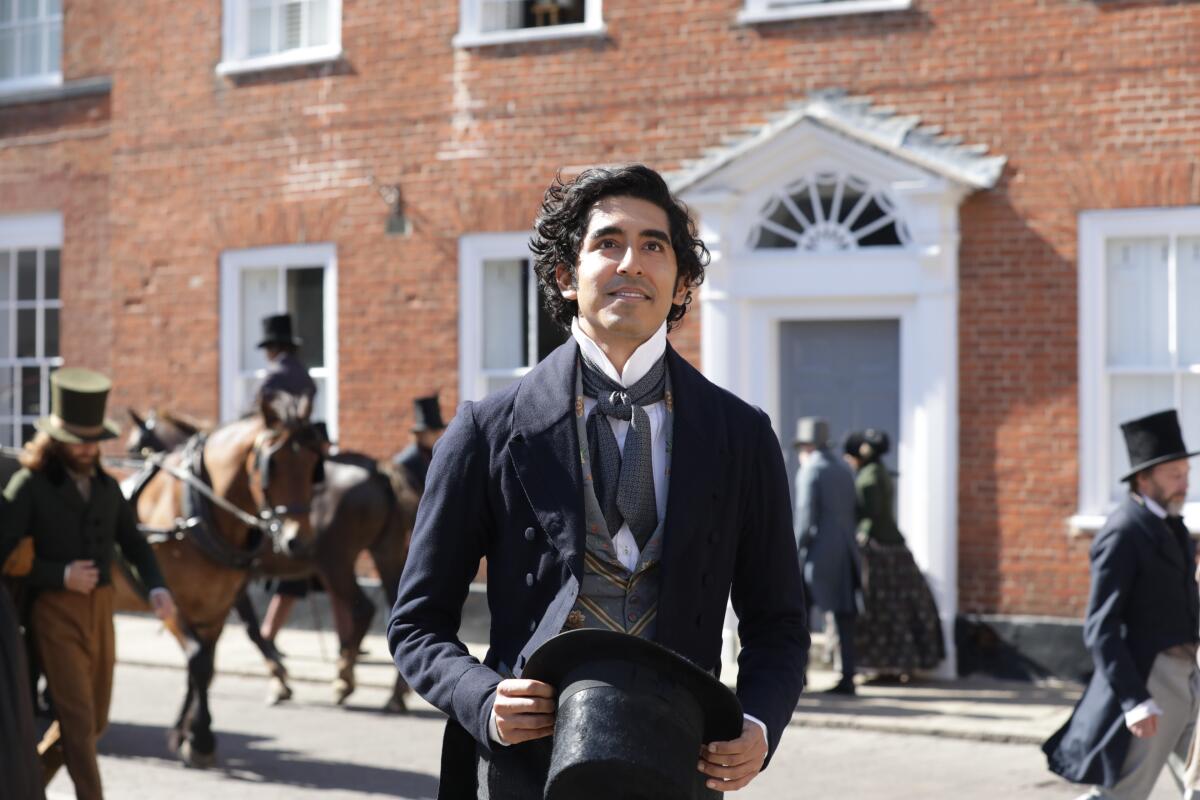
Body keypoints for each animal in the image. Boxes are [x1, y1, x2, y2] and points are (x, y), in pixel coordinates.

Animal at [114, 398, 321, 767]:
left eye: (313, 462)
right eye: (272, 463)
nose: (299, 541)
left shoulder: (217, 604)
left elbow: (206, 665)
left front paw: (188, 733)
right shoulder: (171, 601)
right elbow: (198, 659)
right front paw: (198, 737)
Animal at [129, 410, 420, 710]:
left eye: (135, 446)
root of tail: (377, 470)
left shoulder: (230, 585)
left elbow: (252, 630)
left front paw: (278, 679)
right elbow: (250, 629)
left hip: (334, 562)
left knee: (362, 609)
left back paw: (344, 678)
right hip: (386, 552)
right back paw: (394, 691)